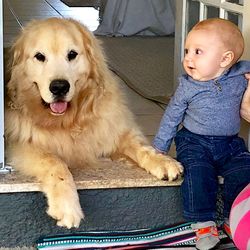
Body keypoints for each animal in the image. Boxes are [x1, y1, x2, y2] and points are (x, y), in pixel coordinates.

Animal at [4, 17, 184, 229]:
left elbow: (141, 147)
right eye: (39, 56)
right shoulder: (21, 145)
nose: (59, 87)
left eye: (72, 55)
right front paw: (68, 207)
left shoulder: (111, 128)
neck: (67, 121)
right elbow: (55, 162)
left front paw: (163, 160)